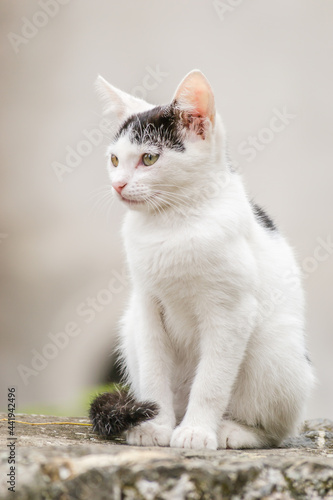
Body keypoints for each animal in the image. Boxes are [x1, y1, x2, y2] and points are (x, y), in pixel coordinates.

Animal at [89, 69, 314, 450]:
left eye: (149, 159)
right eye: (115, 159)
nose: (118, 185)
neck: (172, 222)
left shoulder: (231, 312)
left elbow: (211, 381)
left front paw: (196, 431)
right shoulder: (146, 306)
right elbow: (154, 372)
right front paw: (155, 426)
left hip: (277, 350)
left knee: (279, 429)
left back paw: (233, 430)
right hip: (129, 327)